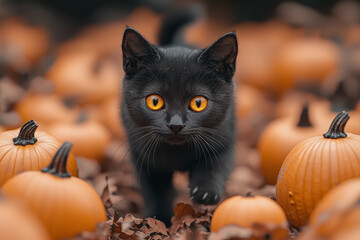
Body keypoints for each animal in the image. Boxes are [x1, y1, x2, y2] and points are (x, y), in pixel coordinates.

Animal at [121, 27, 236, 226]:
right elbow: (156, 190)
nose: (176, 124)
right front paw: (159, 218)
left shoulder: (224, 135)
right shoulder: (143, 155)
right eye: (154, 101)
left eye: (198, 103)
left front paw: (206, 192)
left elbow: (215, 163)